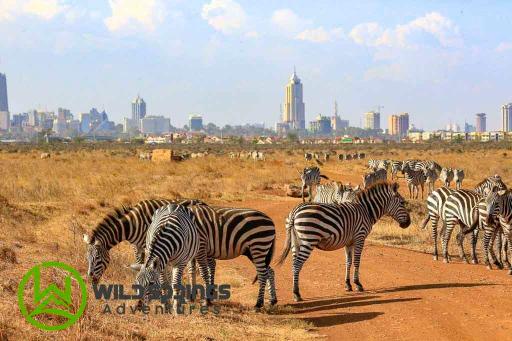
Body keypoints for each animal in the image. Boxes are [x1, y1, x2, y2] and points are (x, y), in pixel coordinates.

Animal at [278, 182, 410, 298]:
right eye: (402, 202)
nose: (408, 223)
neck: (366, 211)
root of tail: (295, 212)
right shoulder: (359, 237)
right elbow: (357, 261)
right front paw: (358, 284)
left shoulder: (349, 242)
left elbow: (348, 262)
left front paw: (348, 284)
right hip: (308, 240)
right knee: (297, 264)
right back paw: (296, 294)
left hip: (296, 242)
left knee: (293, 263)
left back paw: (295, 291)